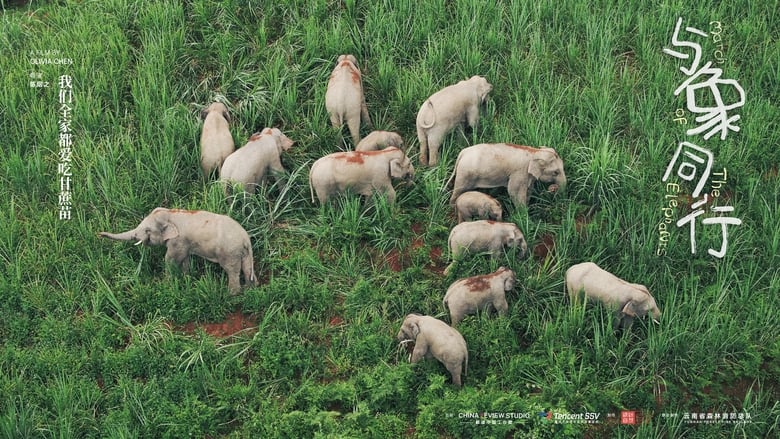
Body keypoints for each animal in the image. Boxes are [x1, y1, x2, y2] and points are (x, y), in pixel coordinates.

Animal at [97, 207, 256, 296]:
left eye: (148, 230)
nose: (98, 234)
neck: (170, 213)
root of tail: (245, 239)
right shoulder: (184, 242)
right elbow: (185, 259)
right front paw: (187, 278)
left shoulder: (178, 240)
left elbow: (170, 258)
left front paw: (167, 284)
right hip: (242, 252)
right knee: (247, 268)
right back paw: (250, 289)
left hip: (229, 252)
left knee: (232, 270)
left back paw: (232, 295)